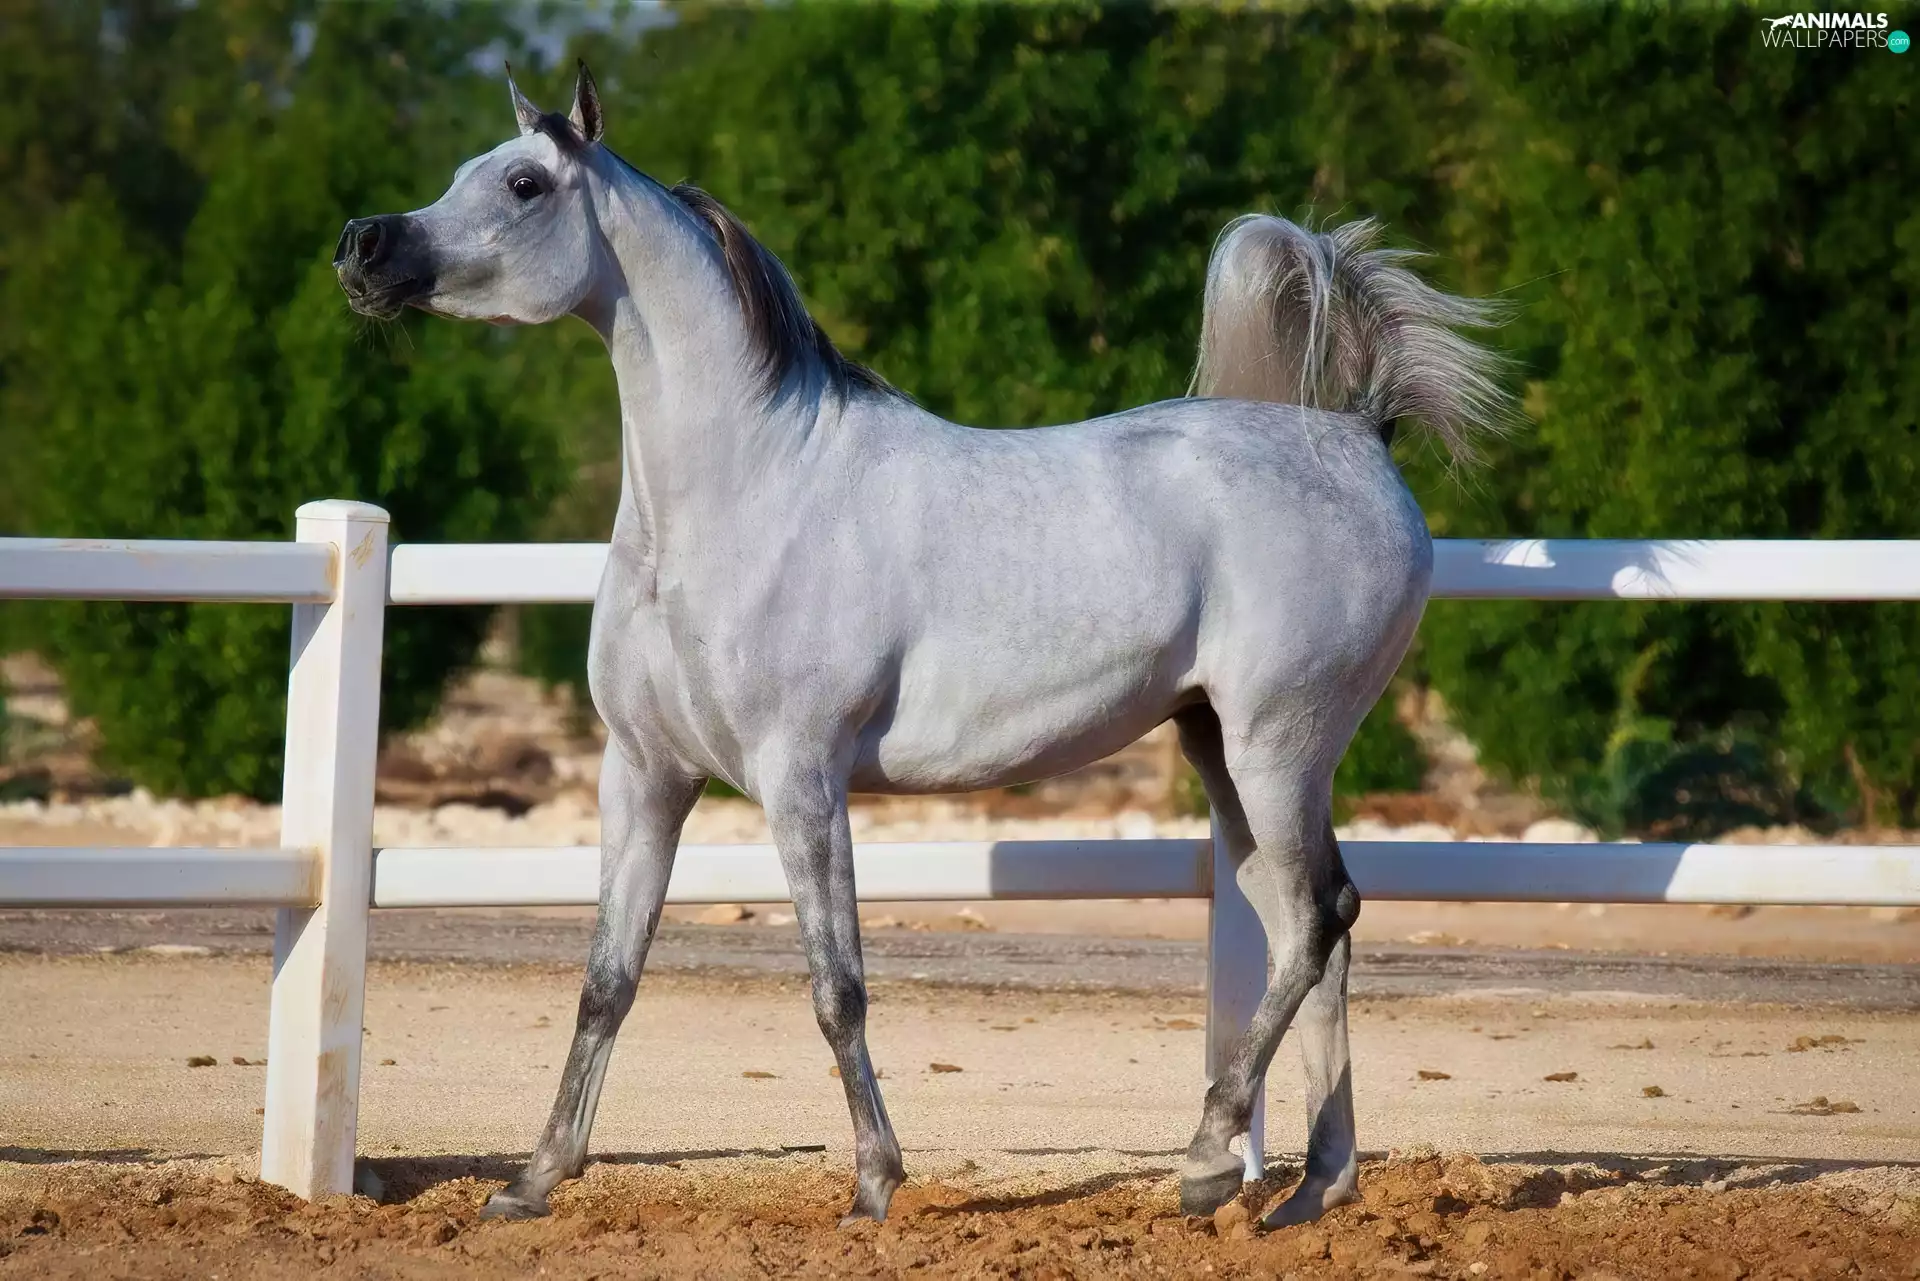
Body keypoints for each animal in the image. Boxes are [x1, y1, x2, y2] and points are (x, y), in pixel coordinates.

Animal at [334, 62, 1510, 1231]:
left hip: (1281, 746)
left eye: (525, 182)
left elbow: (837, 985)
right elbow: (605, 981)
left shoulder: (800, 776)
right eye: (467, 168)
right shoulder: (645, 776)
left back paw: (1209, 1157)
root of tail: (1360, 435)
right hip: (1219, 749)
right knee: (1315, 930)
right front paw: (532, 1183)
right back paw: (1311, 1184)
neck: (746, 491)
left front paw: (872, 1185)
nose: (363, 244)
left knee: (1317, 917)